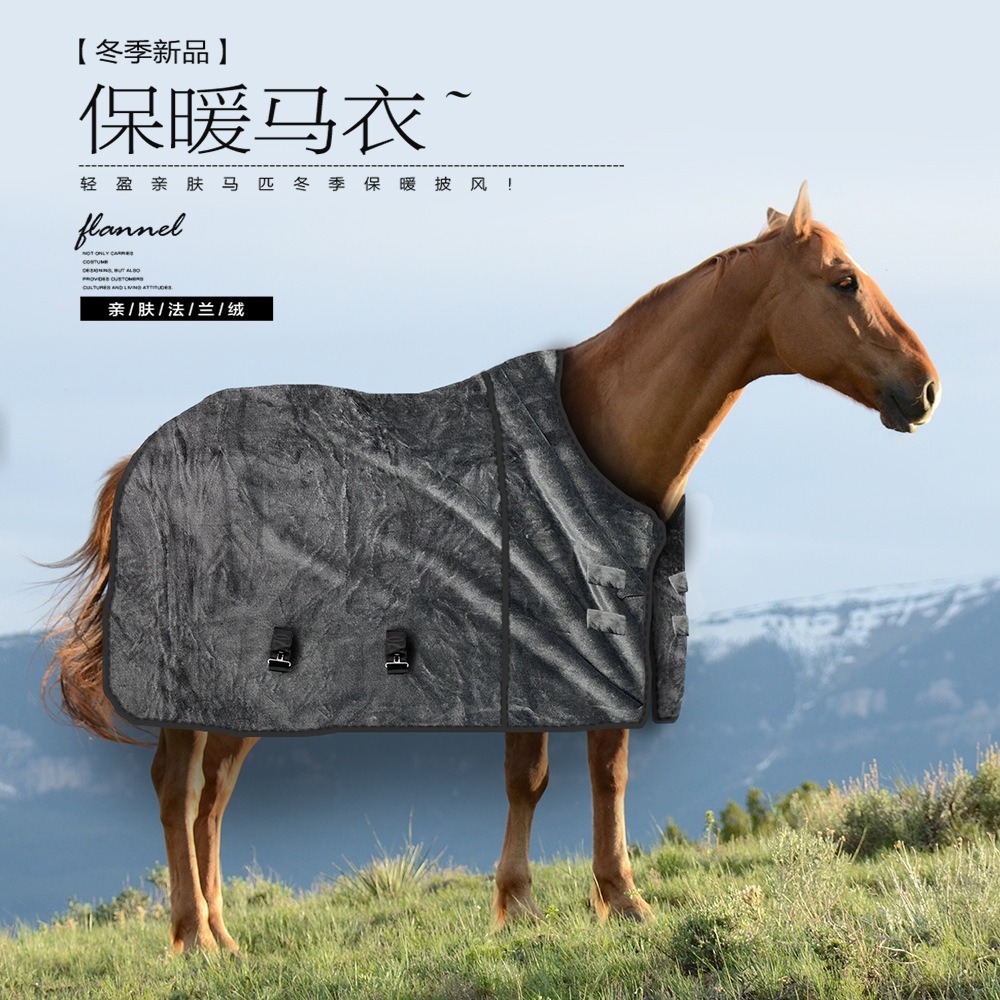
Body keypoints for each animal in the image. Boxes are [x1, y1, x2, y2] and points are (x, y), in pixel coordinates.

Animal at [43, 184, 939, 954]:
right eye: (844, 280)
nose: (925, 388)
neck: (593, 438)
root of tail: (142, 458)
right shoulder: (530, 648)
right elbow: (530, 777)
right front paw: (519, 906)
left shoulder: (599, 644)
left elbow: (607, 771)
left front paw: (621, 899)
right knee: (176, 788)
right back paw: (192, 938)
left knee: (211, 800)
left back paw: (224, 938)